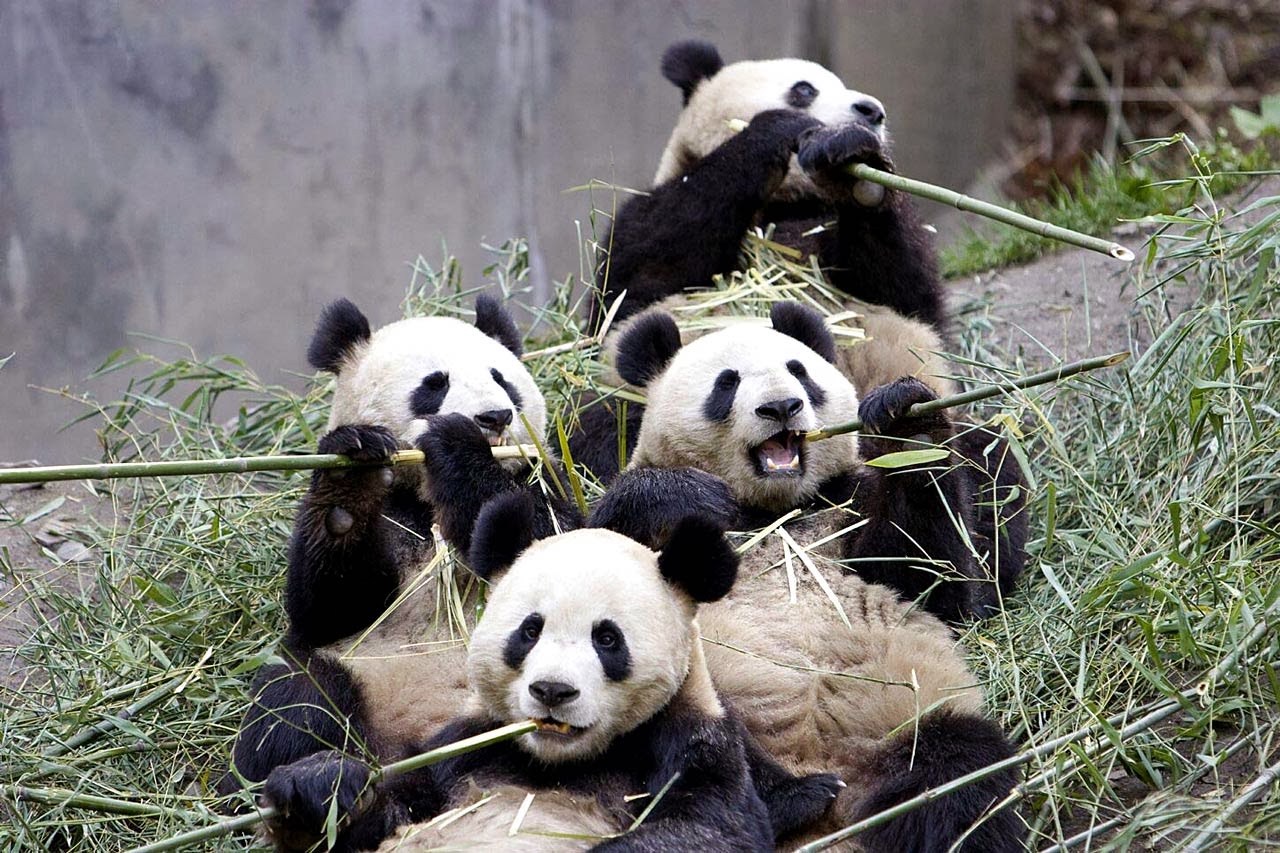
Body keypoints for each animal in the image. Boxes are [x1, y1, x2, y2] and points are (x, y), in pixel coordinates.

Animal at [223, 295, 579, 796]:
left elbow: (559, 545)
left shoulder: (546, 477)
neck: (428, 499)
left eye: (502, 380)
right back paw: (314, 780)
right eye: (434, 384)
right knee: (295, 697)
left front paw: (458, 445)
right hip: (355, 671)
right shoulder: (394, 518)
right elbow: (332, 606)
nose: (494, 417)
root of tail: (404, 742)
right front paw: (350, 479)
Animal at [258, 494, 837, 852]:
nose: (552, 691)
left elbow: (708, 827)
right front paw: (319, 787)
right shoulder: (467, 746)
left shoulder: (688, 738)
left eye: (607, 639)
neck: (558, 760)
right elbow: (389, 808)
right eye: (530, 630)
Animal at [570, 39, 957, 483]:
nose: (872, 111)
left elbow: (907, 291)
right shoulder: (642, 234)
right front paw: (780, 131)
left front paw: (858, 166)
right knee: (605, 424)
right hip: (626, 398)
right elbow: (645, 265)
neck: (783, 204)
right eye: (804, 89)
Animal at [592, 300, 1026, 850]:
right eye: (727, 383)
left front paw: (905, 424)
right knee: (692, 736)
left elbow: (929, 577)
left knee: (960, 774)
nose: (781, 407)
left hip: (904, 722)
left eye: (799, 371)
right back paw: (788, 798)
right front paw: (685, 495)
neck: (776, 513)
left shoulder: (846, 507)